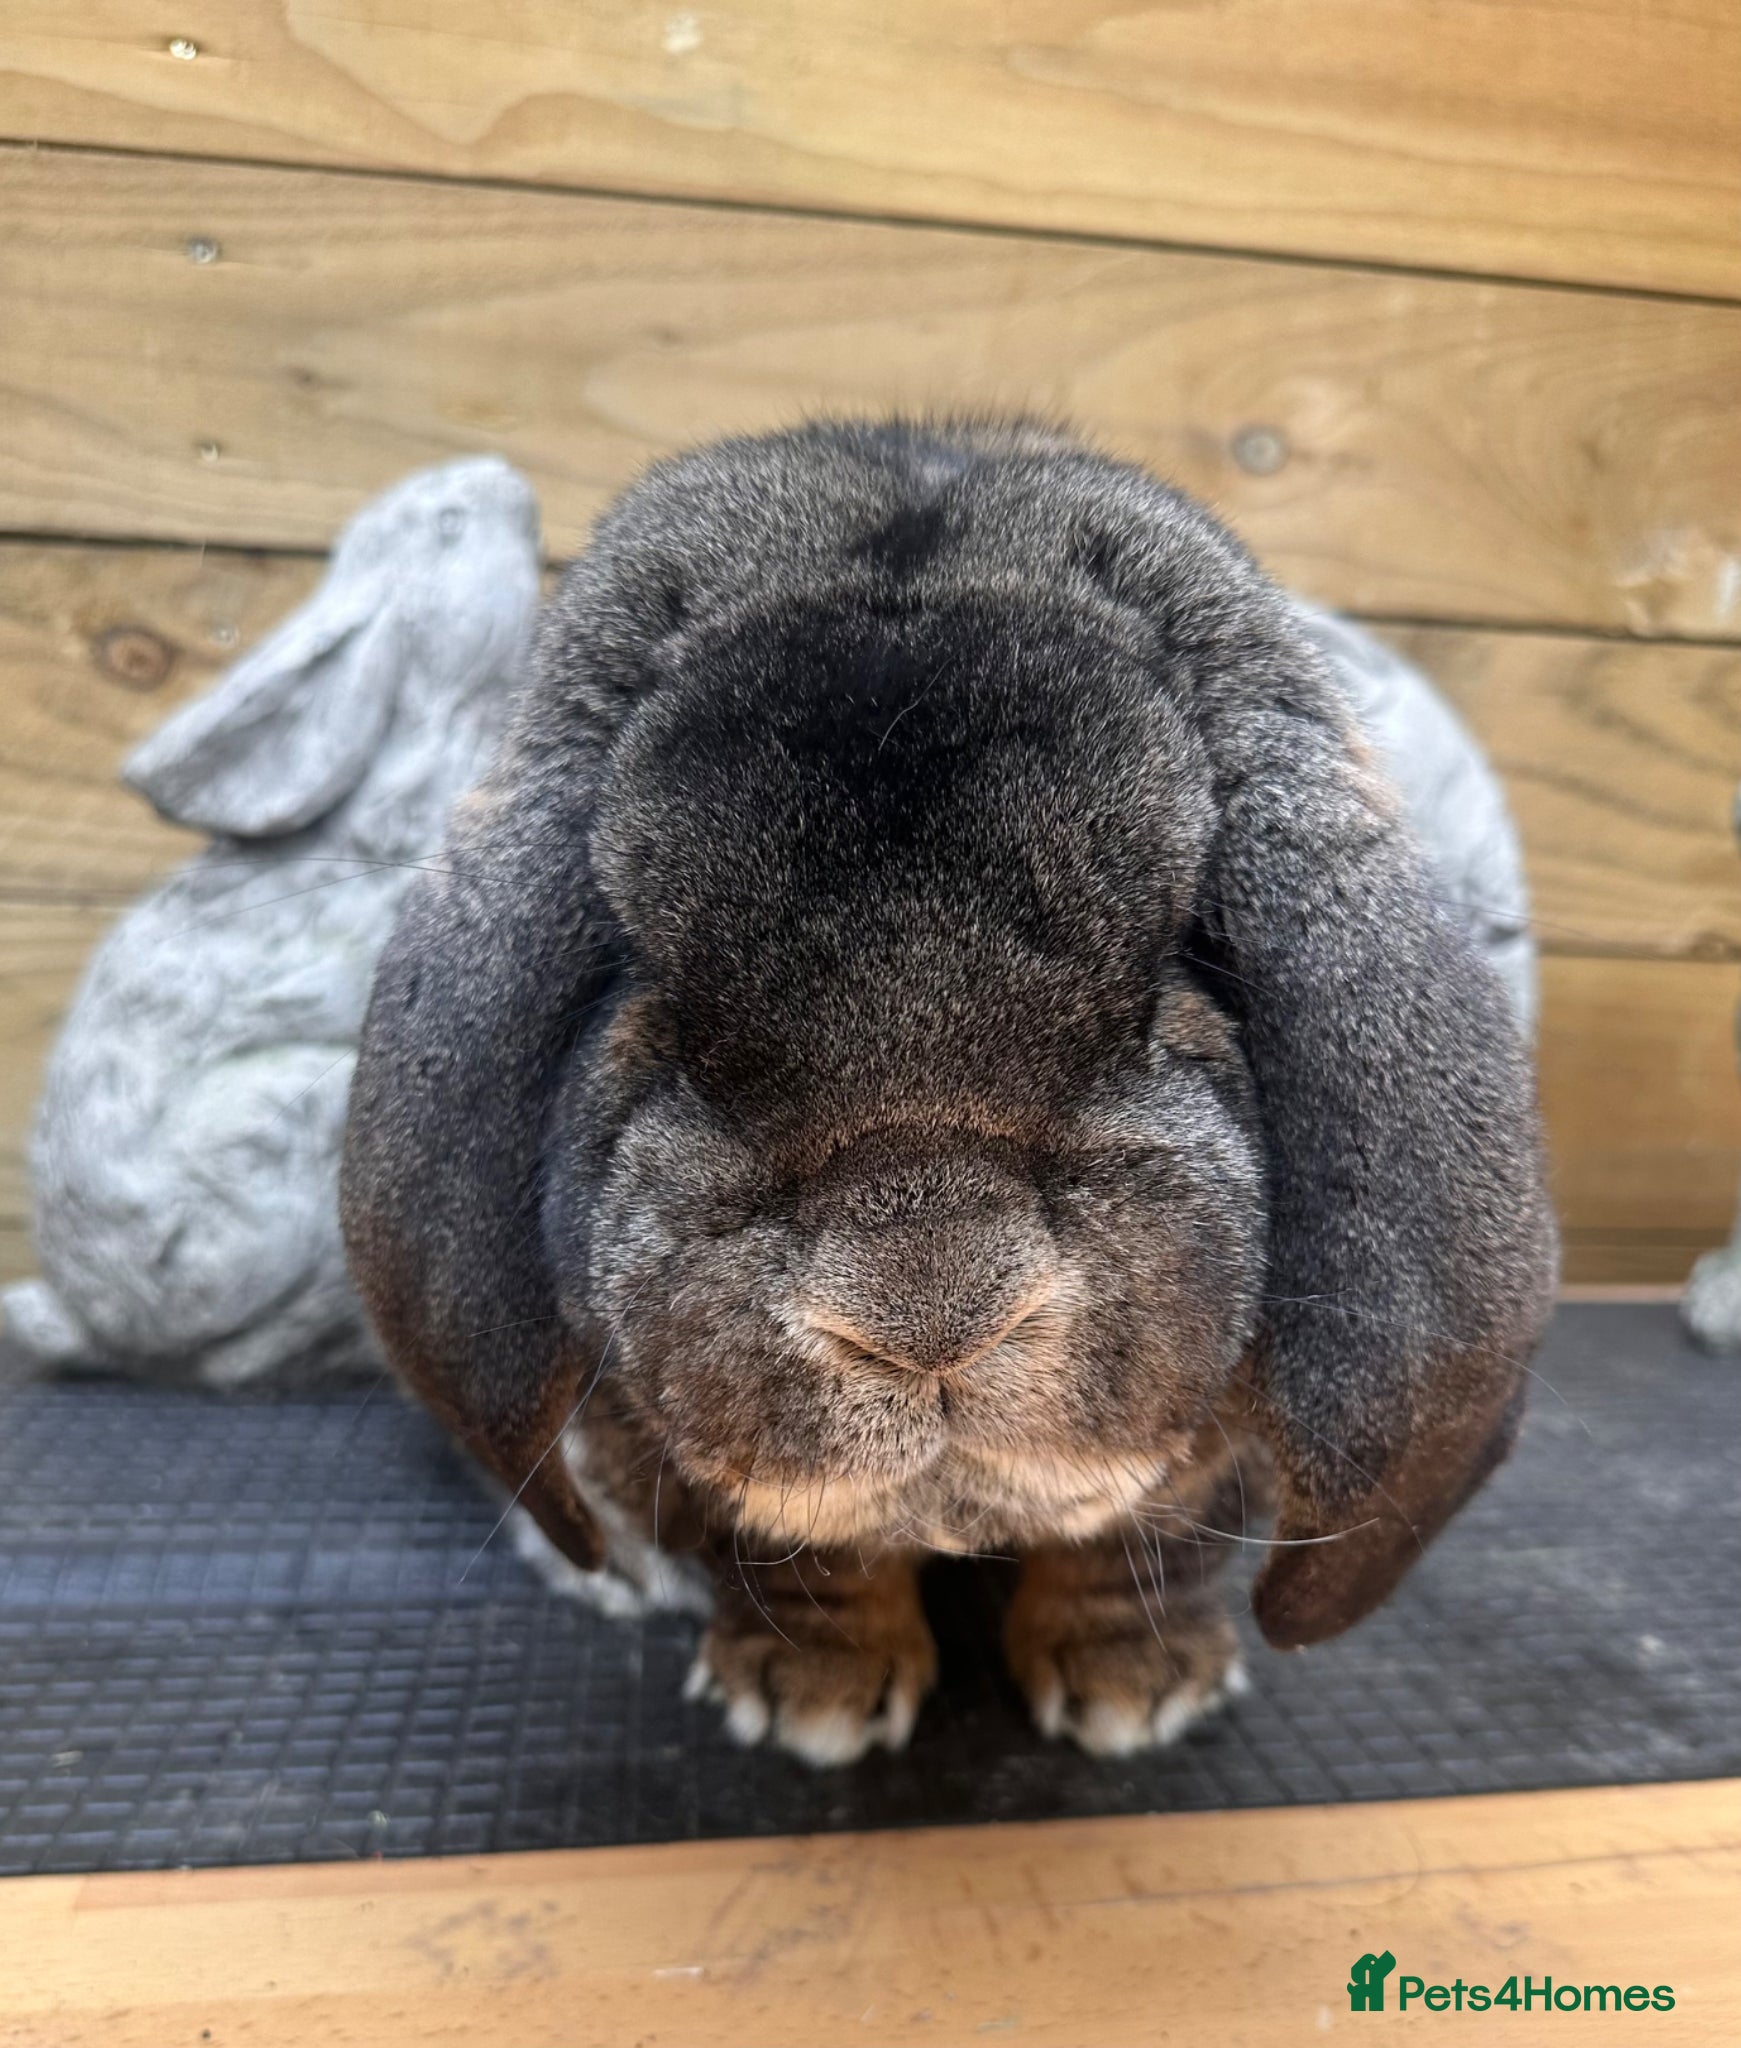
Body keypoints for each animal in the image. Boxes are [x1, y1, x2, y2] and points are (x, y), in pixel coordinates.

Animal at [342, 418, 1558, 1764]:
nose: (928, 1315)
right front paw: (804, 1700)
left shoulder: (1217, 1473)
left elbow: (1144, 1553)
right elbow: (804, 1563)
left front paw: (1138, 1691)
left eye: (1181, 960)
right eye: (645, 984)